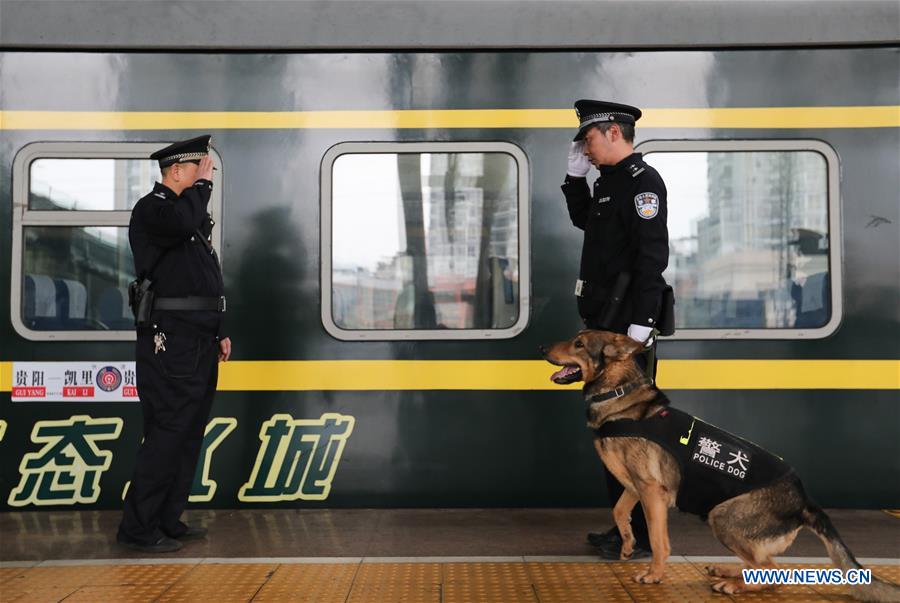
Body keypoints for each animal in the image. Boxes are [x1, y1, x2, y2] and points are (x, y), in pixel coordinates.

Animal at [540, 330, 900, 603]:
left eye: (579, 343)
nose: (541, 348)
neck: (619, 394)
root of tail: (804, 500)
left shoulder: (653, 491)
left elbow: (658, 540)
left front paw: (654, 574)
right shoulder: (635, 486)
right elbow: (619, 511)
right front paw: (627, 544)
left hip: (721, 516)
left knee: (772, 571)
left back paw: (733, 584)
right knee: (767, 564)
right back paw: (728, 571)